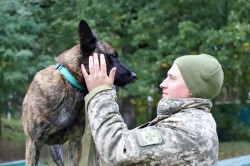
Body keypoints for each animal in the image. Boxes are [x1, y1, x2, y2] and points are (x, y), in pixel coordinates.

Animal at [22, 19, 137, 166]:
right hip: (55, 150)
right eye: (113, 56)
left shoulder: (75, 142)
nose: (134, 75)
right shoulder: (33, 142)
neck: (69, 84)